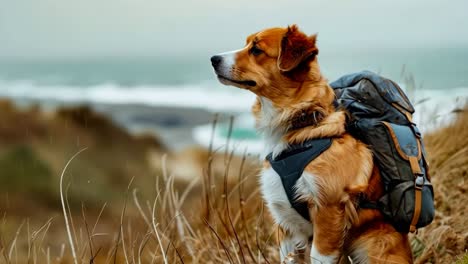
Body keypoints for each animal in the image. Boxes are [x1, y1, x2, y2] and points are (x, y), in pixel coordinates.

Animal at [212, 25, 414, 264]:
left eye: (256, 50)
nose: (213, 59)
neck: (301, 125)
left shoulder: (329, 210)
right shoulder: (285, 224)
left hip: (374, 246)